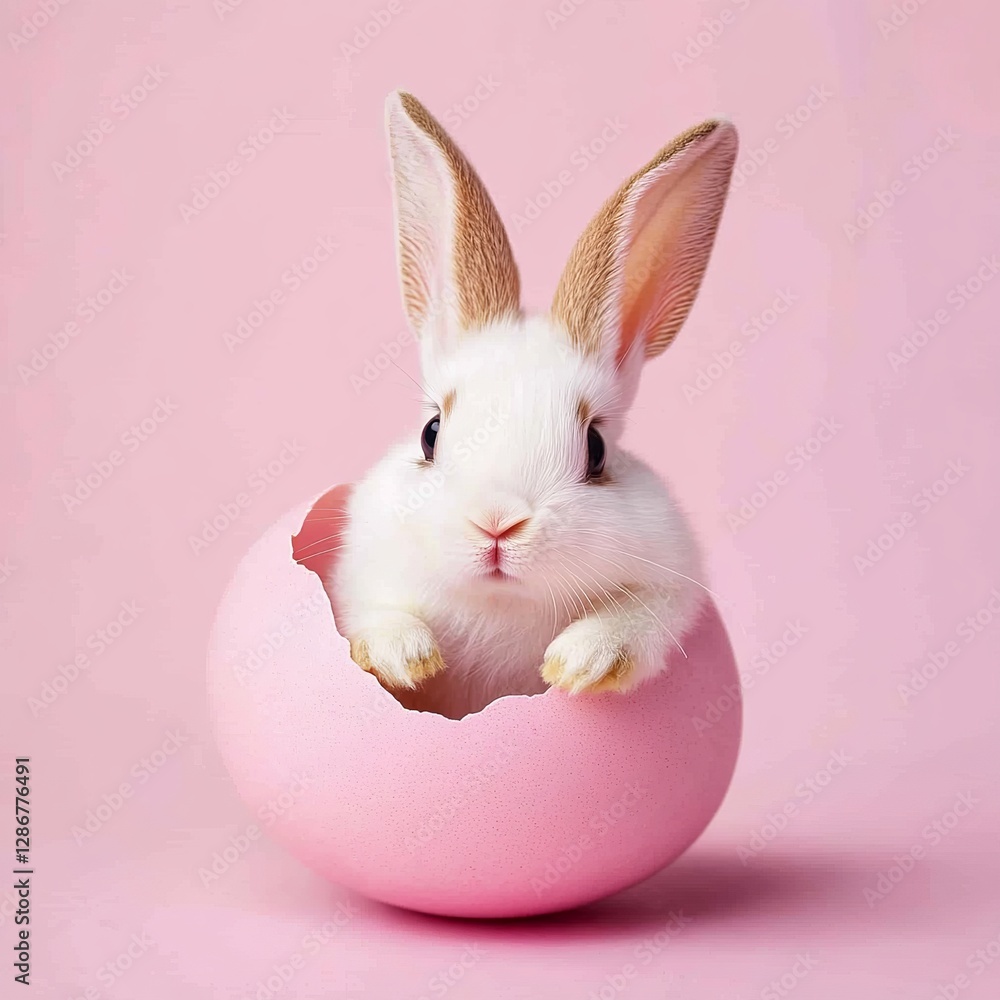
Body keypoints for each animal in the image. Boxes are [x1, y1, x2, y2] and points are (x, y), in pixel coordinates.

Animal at [331, 91, 738, 720]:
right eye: (430, 432)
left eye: (596, 448)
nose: (497, 524)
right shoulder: (358, 577)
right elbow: (372, 615)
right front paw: (407, 655)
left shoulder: (672, 588)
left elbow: (637, 624)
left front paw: (579, 662)